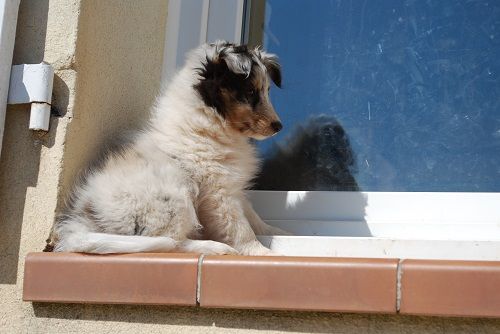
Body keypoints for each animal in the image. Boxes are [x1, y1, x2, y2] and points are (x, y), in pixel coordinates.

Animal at [47, 41, 290, 256]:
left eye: (267, 90)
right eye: (250, 92)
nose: (278, 126)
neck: (209, 120)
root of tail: (80, 223)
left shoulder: (233, 187)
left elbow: (253, 217)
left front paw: (281, 233)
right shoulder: (219, 193)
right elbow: (240, 229)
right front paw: (263, 253)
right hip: (173, 194)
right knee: (169, 241)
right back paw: (214, 247)